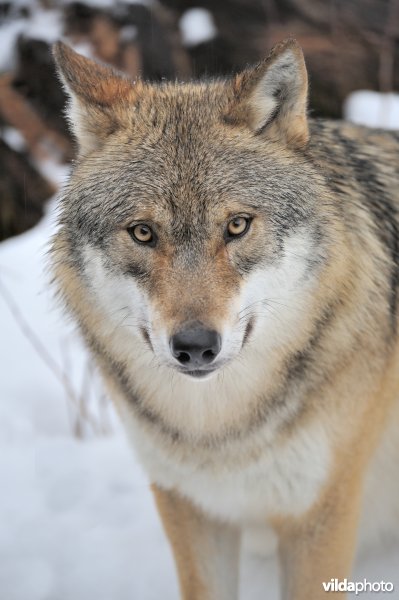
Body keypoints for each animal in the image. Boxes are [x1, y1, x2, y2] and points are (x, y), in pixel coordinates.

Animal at [50, 38, 399, 600]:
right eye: (143, 232)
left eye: (237, 226)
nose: (195, 346)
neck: (219, 431)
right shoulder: (190, 506)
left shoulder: (320, 514)